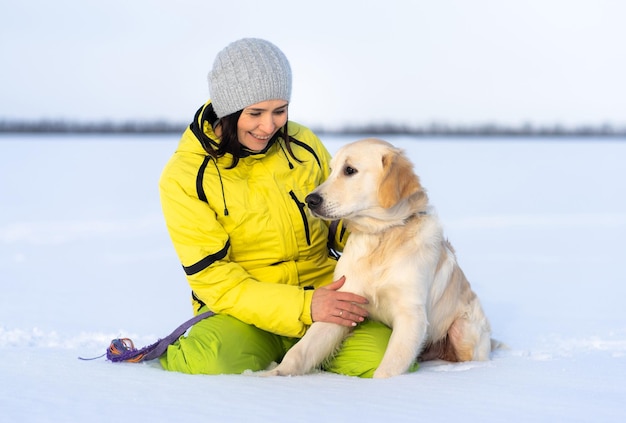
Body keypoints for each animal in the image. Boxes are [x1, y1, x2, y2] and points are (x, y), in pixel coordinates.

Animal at [266, 138, 490, 378]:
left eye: (349, 170)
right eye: (331, 170)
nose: (310, 200)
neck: (381, 237)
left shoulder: (411, 314)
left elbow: (389, 366)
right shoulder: (343, 303)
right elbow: (301, 350)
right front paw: (272, 374)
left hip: (462, 329)